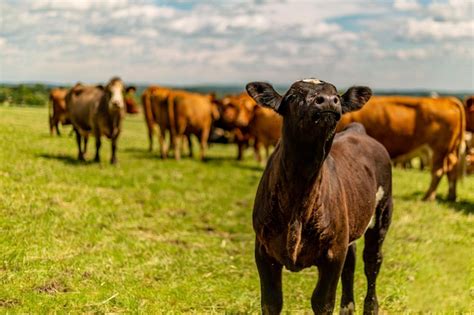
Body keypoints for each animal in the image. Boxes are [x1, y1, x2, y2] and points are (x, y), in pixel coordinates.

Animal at [244, 79, 392, 315]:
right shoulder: (263, 251)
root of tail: (357, 130)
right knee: (351, 264)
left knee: (372, 262)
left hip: (383, 215)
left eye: (337, 97)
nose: (328, 101)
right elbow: (271, 301)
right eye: (292, 96)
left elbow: (322, 302)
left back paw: (370, 307)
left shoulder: (333, 255)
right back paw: (347, 308)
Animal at [336, 95, 464, 201]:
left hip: (438, 150)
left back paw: (428, 197)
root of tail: (447, 100)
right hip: (449, 151)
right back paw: (451, 196)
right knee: (452, 170)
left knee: (438, 172)